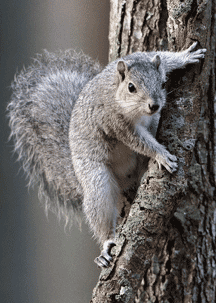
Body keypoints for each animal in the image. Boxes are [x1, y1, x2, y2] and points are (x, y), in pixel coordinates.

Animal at [6, 41, 206, 268]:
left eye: (163, 83)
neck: (116, 93)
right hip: (96, 179)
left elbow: (162, 56)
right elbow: (140, 142)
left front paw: (185, 56)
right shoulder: (115, 122)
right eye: (131, 87)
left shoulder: (139, 57)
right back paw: (107, 244)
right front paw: (162, 154)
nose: (154, 106)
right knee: (99, 208)